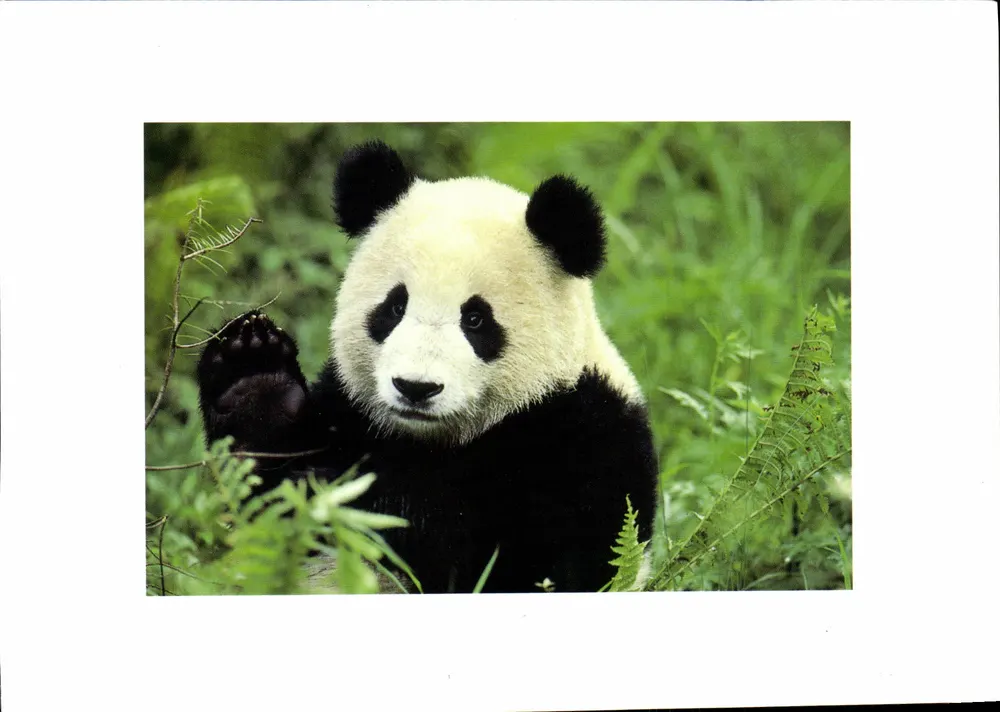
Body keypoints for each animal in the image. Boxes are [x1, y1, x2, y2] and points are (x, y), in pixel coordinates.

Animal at [197, 141, 658, 594]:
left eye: (475, 320)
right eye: (394, 307)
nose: (415, 387)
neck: (434, 439)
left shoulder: (585, 437)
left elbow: (520, 558)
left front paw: (351, 497)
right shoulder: (348, 409)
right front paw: (255, 379)